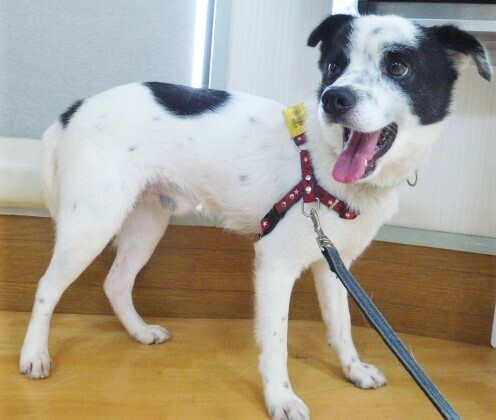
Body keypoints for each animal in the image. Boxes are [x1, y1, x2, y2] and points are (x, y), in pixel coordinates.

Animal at [20, 13, 491, 420]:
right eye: (334, 65)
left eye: (398, 66)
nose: (333, 98)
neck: (322, 159)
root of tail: (73, 109)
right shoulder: (275, 263)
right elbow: (277, 341)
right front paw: (281, 398)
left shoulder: (332, 263)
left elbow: (341, 325)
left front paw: (353, 370)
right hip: (93, 220)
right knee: (47, 288)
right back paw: (34, 355)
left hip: (148, 221)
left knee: (116, 282)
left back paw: (139, 332)